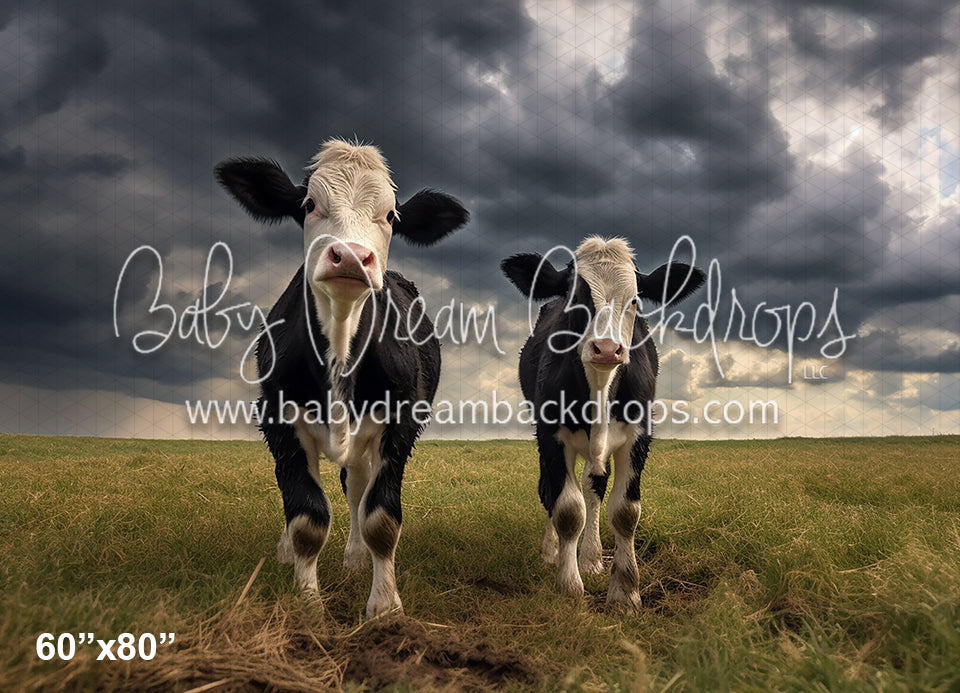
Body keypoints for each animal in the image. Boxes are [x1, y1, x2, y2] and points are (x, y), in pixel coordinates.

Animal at [215, 139, 468, 619]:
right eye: (309, 205)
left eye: (391, 216)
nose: (350, 256)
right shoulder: (277, 417)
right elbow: (307, 517)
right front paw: (308, 606)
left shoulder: (400, 421)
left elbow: (380, 518)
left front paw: (385, 607)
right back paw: (287, 552)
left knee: (356, 490)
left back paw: (355, 557)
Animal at [501, 237, 704, 609]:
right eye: (573, 296)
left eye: (636, 299)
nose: (607, 349)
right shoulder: (551, 435)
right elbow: (567, 509)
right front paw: (568, 586)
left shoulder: (639, 435)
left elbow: (625, 511)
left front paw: (625, 591)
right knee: (551, 490)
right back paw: (553, 552)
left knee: (593, 488)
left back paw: (591, 557)